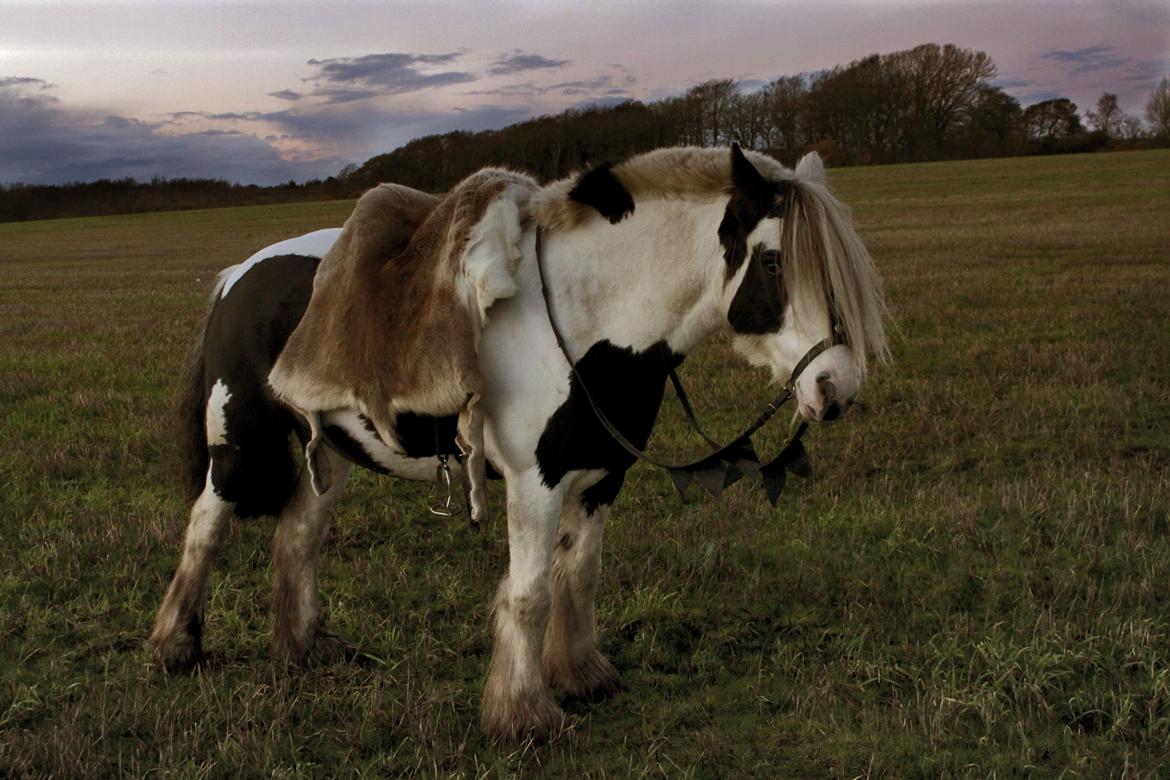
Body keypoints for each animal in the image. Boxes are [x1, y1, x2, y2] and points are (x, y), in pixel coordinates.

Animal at [153, 143, 884, 743]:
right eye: (774, 261)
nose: (836, 387)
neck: (590, 316)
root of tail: (237, 274)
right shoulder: (537, 482)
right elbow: (530, 593)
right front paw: (523, 715)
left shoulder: (602, 476)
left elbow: (579, 576)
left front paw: (583, 677)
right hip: (237, 447)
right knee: (205, 529)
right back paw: (175, 648)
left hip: (328, 452)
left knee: (298, 538)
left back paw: (304, 648)